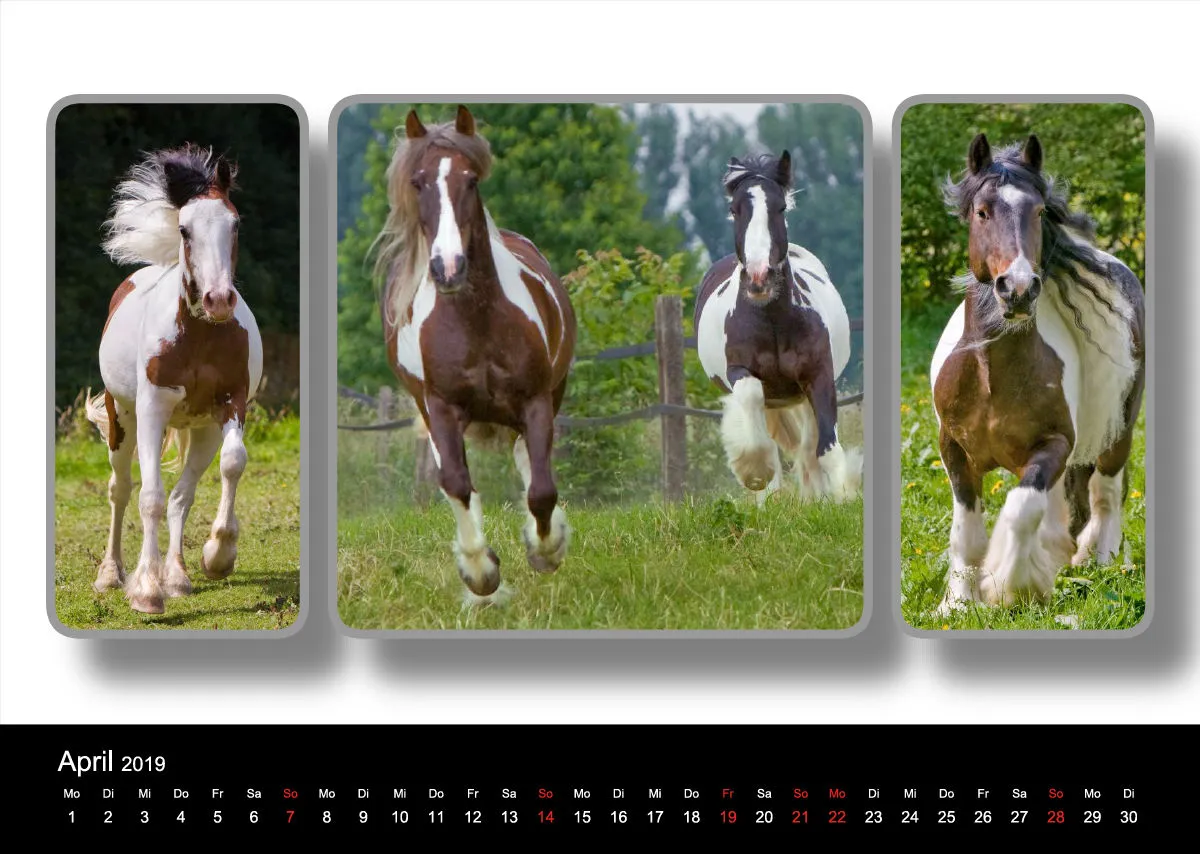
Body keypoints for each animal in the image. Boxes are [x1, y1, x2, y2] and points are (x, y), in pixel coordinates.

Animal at [84, 145, 263, 614]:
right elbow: (150, 497)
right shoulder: (152, 409)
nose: (218, 300)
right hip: (122, 420)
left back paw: (178, 576)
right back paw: (111, 574)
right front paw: (147, 590)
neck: (199, 335)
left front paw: (218, 555)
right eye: (185, 228)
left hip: (201, 430)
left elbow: (232, 464)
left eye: (235, 223)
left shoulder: (232, 402)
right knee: (121, 489)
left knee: (183, 495)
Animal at [375, 106, 577, 604]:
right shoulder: (441, 407)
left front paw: (546, 549)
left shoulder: (535, 400)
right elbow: (456, 482)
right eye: (419, 182)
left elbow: (541, 489)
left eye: (471, 180)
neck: (475, 321)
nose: (448, 267)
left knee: (530, 462)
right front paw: (481, 571)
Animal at [695, 152, 861, 505]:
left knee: (808, 444)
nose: (760, 277)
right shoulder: (739, 372)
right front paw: (754, 473)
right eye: (735, 209)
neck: (772, 321)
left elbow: (825, 447)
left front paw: (842, 495)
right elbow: (756, 419)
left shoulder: (819, 375)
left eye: (780, 207)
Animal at [930, 133, 1145, 613]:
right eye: (982, 211)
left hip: (1117, 430)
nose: (1019, 289)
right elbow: (966, 531)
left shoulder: (1055, 445)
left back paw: (1097, 559)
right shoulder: (954, 449)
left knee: (1105, 494)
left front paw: (1012, 586)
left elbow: (1022, 508)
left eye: (1040, 211)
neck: (990, 377)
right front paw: (959, 601)